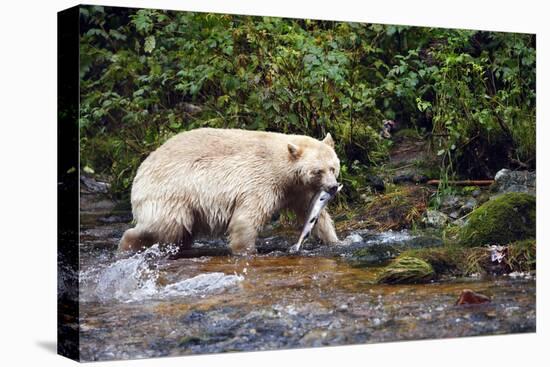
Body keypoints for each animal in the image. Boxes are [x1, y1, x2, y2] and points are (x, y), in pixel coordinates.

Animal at [121, 128, 340, 254]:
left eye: (333, 167)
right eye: (318, 171)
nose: (332, 187)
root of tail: (140, 170)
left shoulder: (298, 190)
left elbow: (314, 215)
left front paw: (334, 241)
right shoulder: (261, 180)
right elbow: (247, 218)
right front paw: (246, 250)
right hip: (170, 192)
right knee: (163, 225)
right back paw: (127, 244)